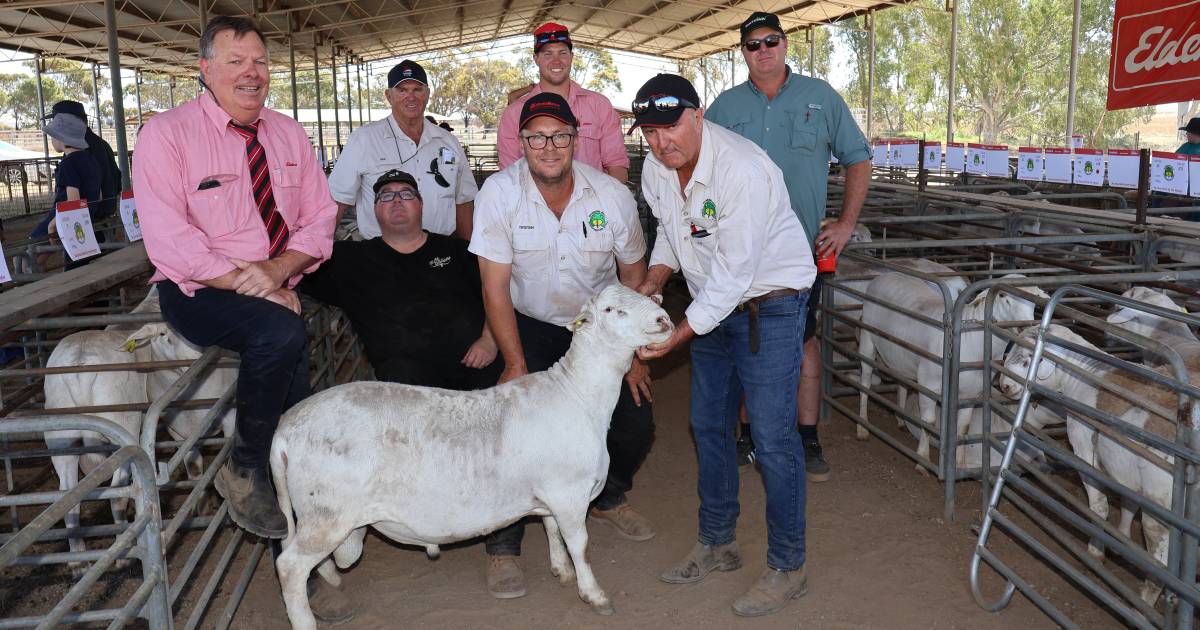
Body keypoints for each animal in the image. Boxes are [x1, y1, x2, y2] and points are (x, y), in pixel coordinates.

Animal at [268, 284, 676, 628]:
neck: (577, 394)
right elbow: (580, 544)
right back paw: (304, 620)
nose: (664, 319)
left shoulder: (551, 492)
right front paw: (593, 594)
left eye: (646, 296)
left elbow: (551, 529)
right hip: (327, 513)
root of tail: (285, 429)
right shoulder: (569, 492)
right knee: (289, 567)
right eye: (611, 309)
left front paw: (560, 570)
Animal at [859, 272, 1046, 468]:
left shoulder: (971, 392)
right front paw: (923, 459)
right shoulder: (928, 382)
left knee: (901, 381)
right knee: (865, 380)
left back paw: (901, 420)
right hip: (867, 338)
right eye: (1002, 295)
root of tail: (884, 275)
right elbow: (929, 422)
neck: (970, 339)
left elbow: (963, 428)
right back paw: (862, 426)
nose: (1025, 325)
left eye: (1035, 300)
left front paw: (959, 464)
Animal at [993, 324, 1190, 604]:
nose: (1004, 385)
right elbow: (1128, 502)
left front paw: (1096, 551)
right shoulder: (1124, 470)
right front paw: (1122, 538)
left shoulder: (1085, 450)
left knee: (1160, 554)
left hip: (1160, 502)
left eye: (1025, 360)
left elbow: (1098, 507)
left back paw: (1144, 599)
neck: (1082, 374)